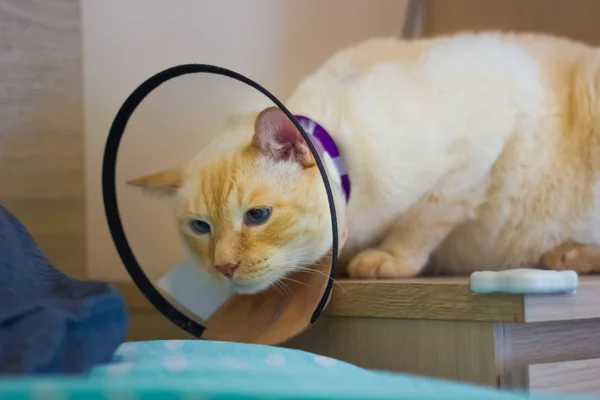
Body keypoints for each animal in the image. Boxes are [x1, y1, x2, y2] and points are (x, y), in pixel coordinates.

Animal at [129, 32, 600, 294]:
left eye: (257, 216)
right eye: (200, 228)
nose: (223, 268)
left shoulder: (474, 160)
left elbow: (420, 222)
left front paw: (385, 259)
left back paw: (569, 256)